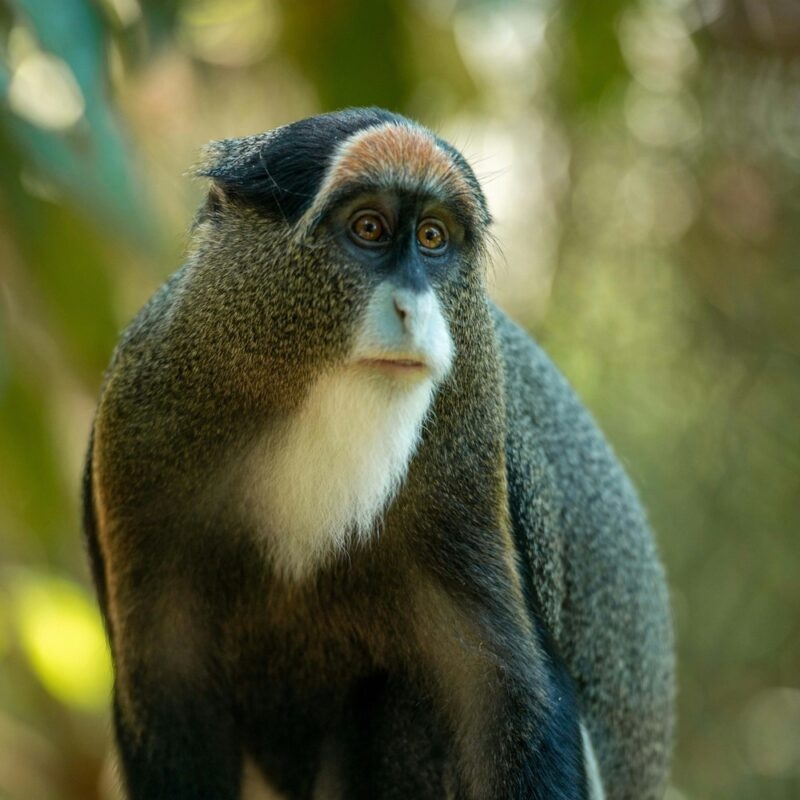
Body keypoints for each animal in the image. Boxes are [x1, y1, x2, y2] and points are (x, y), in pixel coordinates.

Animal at [83, 107, 674, 800]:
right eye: (369, 228)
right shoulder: (137, 431)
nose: (413, 308)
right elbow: (172, 707)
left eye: (433, 237)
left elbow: (509, 694)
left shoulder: (471, 450)